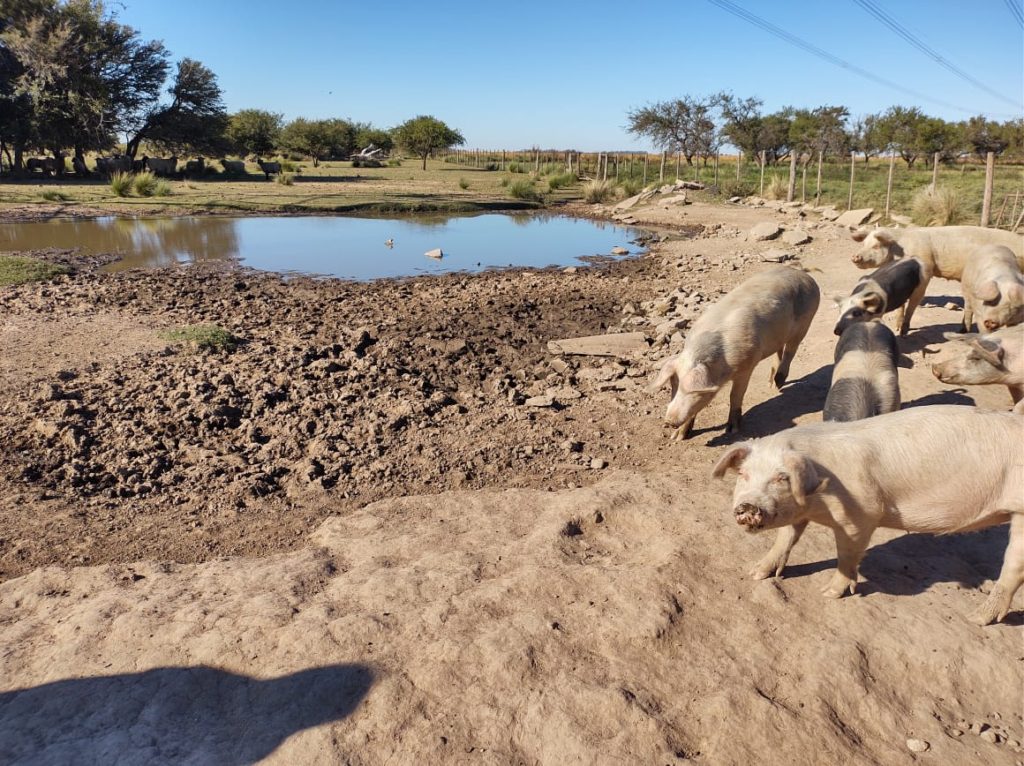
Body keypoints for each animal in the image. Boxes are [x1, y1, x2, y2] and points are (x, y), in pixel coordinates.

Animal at [651, 268, 819, 436]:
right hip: (779, 334)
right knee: (779, 351)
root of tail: (802, 274)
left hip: (806, 323)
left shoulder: (747, 366)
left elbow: (735, 396)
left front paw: (732, 430)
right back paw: (771, 385)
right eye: (674, 384)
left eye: (693, 392)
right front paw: (677, 437)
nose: (669, 421)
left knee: (791, 351)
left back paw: (779, 382)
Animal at [712, 403, 1024, 626]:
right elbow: (786, 537)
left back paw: (977, 619)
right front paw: (756, 573)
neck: (818, 496)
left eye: (781, 478)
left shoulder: (862, 513)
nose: (748, 506)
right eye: (743, 475)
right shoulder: (799, 514)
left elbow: (847, 554)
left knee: (1013, 567)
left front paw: (828, 593)